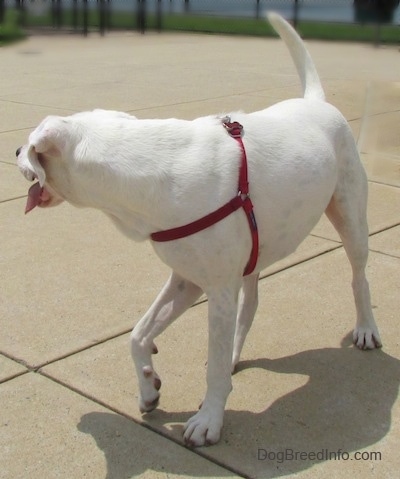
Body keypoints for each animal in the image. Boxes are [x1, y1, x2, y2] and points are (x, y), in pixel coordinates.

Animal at [17, 14, 382, 450]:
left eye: (28, 144)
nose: (14, 152)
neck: (142, 166)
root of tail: (315, 101)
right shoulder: (186, 279)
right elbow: (138, 335)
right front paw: (148, 386)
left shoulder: (218, 289)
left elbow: (210, 371)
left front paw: (208, 419)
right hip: (253, 256)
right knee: (249, 308)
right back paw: (234, 356)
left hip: (350, 220)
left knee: (359, 277)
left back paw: (366, 329)